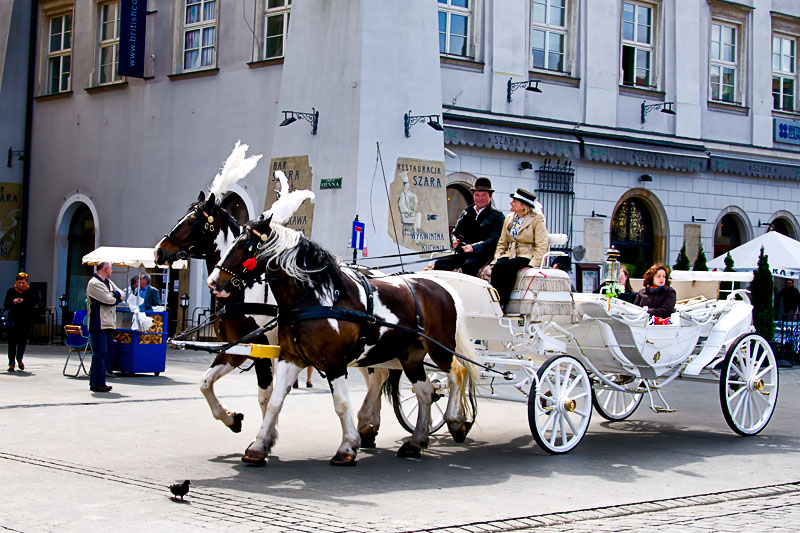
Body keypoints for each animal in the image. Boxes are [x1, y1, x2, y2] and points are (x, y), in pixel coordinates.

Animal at [155, 191, 276, 432]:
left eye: (192, 222)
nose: (158, 251)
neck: (245, 288)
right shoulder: (235, 349)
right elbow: (205, 382)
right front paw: (230, 417)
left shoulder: (263, 349)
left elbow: (264, 397)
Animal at [209, 214, 478, 464]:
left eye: (246, 245)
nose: (213, 282)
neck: (314, 297)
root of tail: (441, 285)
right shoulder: (290, 358)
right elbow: (275, 401)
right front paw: (258, 446)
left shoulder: (334, 362)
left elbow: (341, 403)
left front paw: (347, 447)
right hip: (410, 355)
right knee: (424, 391)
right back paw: (416, 440)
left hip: (440, 348)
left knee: (456, 373)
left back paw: (455, 421)